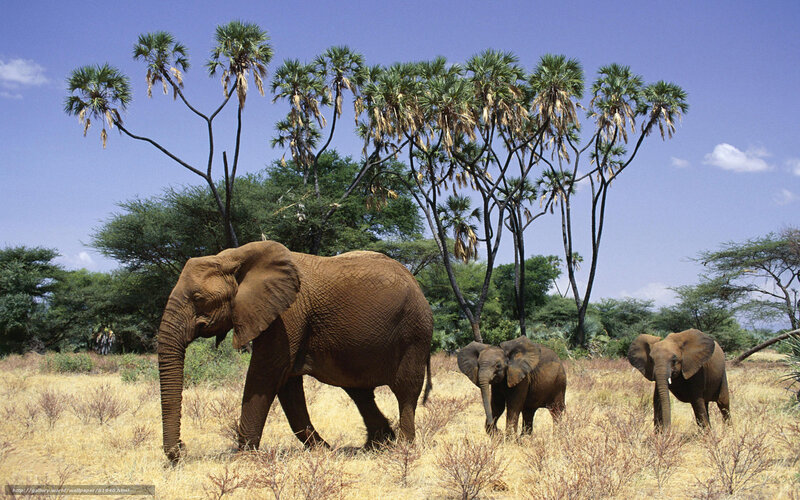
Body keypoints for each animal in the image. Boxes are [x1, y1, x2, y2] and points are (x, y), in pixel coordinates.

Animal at [157, 240, 433, 462]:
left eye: (198, 298)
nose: (181, 449)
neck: (232, 257)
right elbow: (288, 385)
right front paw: (323, 451)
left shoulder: (287, 314)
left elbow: (266, 374)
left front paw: (243, 459)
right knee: (359, 391)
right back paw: (376, 445)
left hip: (415, 331)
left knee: (405, 389)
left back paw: (403, 448)